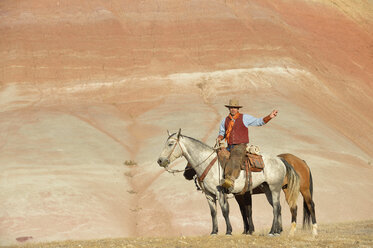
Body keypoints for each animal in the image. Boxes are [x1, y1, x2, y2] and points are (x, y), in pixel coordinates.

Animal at [157, 129, 300, 235]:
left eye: (170, 144)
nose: (160, 160)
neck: (209, 164)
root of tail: (279, 159)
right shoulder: (209, 195)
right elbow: (213, 212)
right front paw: (214, 232)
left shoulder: (220, 193)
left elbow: (225, 211)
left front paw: (229, 231)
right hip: (267, 189)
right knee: (277, 207)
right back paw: (276, 231)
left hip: (275, 188)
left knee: (276, 207)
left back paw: (272, 231)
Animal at [184, 152, 316, 235]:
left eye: (190, 162)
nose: (185, 174)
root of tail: (301, 161)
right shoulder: (240, 195)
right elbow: (244, 211)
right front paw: (247, 230)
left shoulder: (244, 195)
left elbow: (248, 211)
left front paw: (250, 230)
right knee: (286, 207)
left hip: (301, 190)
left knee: (306, 206)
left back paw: (309, 230)